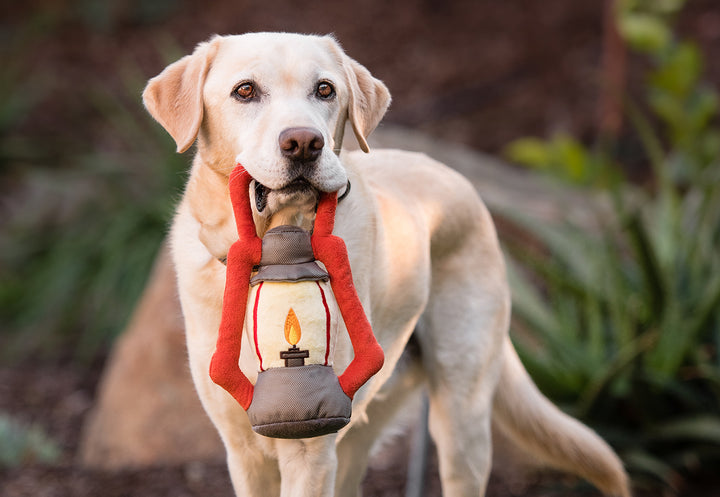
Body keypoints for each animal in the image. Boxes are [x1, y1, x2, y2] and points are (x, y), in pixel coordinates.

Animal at [143, 33, 628, 494]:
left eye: (324, 89)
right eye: (244, 90)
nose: (304, 143)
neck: (277, 250)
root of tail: (456, 177)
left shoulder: (308, 447)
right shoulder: (245, 451)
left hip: (461, 421)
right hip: (360, 432)